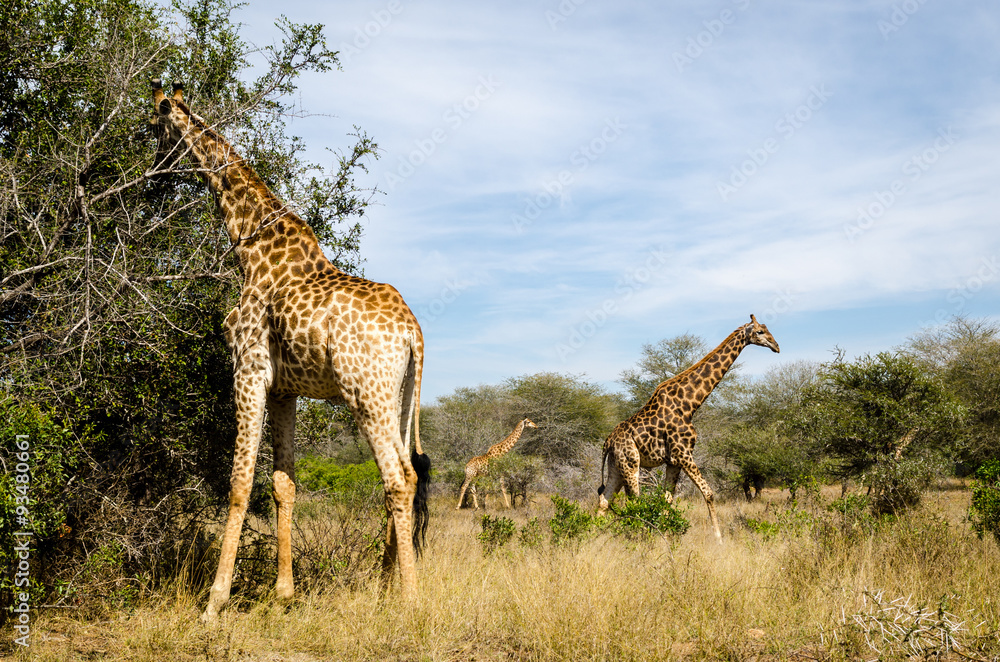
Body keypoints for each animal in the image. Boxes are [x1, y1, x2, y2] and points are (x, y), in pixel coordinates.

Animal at [149, 80, 430, 622]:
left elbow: (239, 483)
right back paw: (386, 585)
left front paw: (214, 602)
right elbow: (284, 483)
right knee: (410, 473)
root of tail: (414, 333)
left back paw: (408, 598)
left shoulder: (248, 369)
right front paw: (283, 593)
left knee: (397, 478)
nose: (153, 177)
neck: (249, 247)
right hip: (402, 395)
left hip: (367, 394)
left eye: (153, 127)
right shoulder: (284, 389)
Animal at [597, 315, 779, 539]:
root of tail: (607, 443)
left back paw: (593, 536)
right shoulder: (684, 454)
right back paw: (638, 536)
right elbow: (708, 493)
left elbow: (666, 501)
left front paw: (665, 535)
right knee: (634, 502)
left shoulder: (674, 461)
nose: (776, 346)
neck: (690, 404)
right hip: (631, 464)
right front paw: (718, 538)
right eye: (760, 331)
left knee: (604, 501)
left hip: (616, 466)